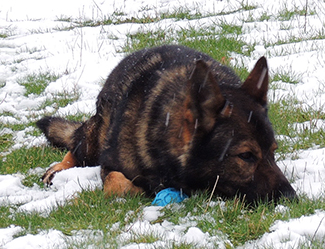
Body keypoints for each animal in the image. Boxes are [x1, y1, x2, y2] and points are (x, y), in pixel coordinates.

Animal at [36, 44, 296, 203]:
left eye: (273, 152)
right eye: (246, 156)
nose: (292, 198)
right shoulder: (109, 165)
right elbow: (119, 185)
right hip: (96, 137)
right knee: (77, 145)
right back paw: (58, 168)